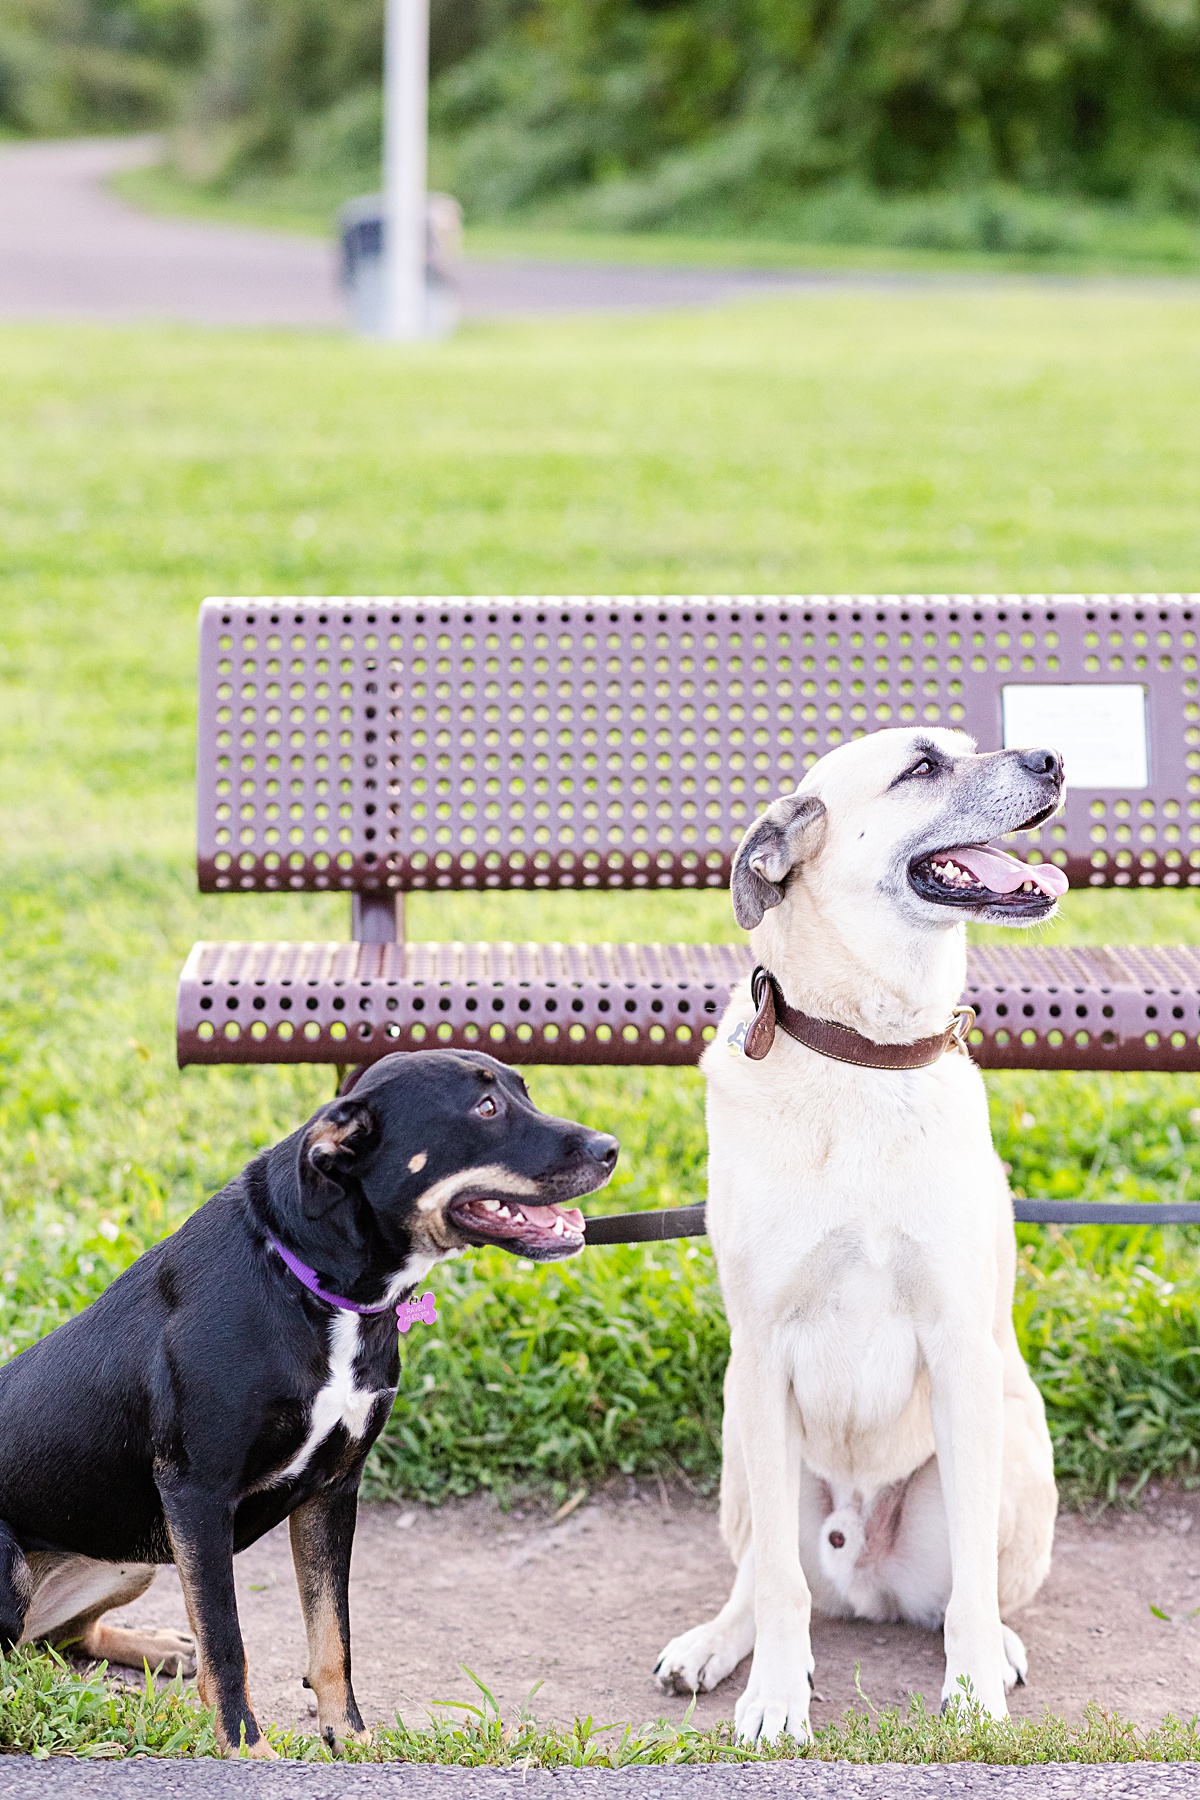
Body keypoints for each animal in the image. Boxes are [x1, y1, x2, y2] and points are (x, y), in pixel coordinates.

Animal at [0, 1051, 618, 1756]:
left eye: (525, 1092)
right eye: (485, 1108)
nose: (611, 1149)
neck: (311, 1284)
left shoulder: (333, 1489)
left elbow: (332, 1637)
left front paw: (350, 1737)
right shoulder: (196, 1494)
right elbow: (228, 1641)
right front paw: (247, 1748)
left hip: (136, 1559)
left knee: (59, 1639)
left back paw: (157, 1647)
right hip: (28, 1567)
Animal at [662, 727, 1065, 1742]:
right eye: (922, 766)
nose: (1053, 759)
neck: (865, 1057)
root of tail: (860, 1564)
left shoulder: (959, 1350)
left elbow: (970, 1592)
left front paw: (973, 1694)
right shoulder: (762, 1356)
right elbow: (777, 1587)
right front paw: (774, 1696)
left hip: (1012, 1447)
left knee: (971, 1585)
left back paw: (997, 1648)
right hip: (742, 1450)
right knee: (769, 1573)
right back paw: (716, 1643)